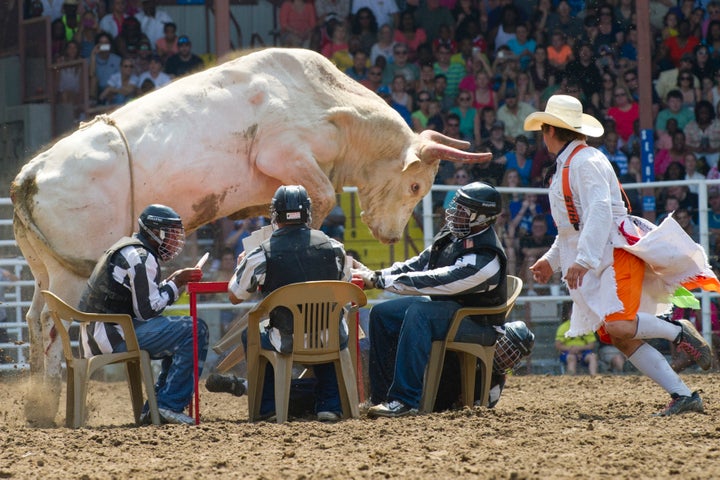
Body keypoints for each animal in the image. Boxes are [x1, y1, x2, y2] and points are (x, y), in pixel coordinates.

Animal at [11, 47, 492, 424]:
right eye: (416, 186)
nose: (391, 236)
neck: (329, 104)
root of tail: (28, 176)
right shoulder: (285, 153)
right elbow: (321, 194)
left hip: (45, 269)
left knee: (34, 319)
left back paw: (38, 404)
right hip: (70, 276)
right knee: (53, 325)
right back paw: (49, 405)